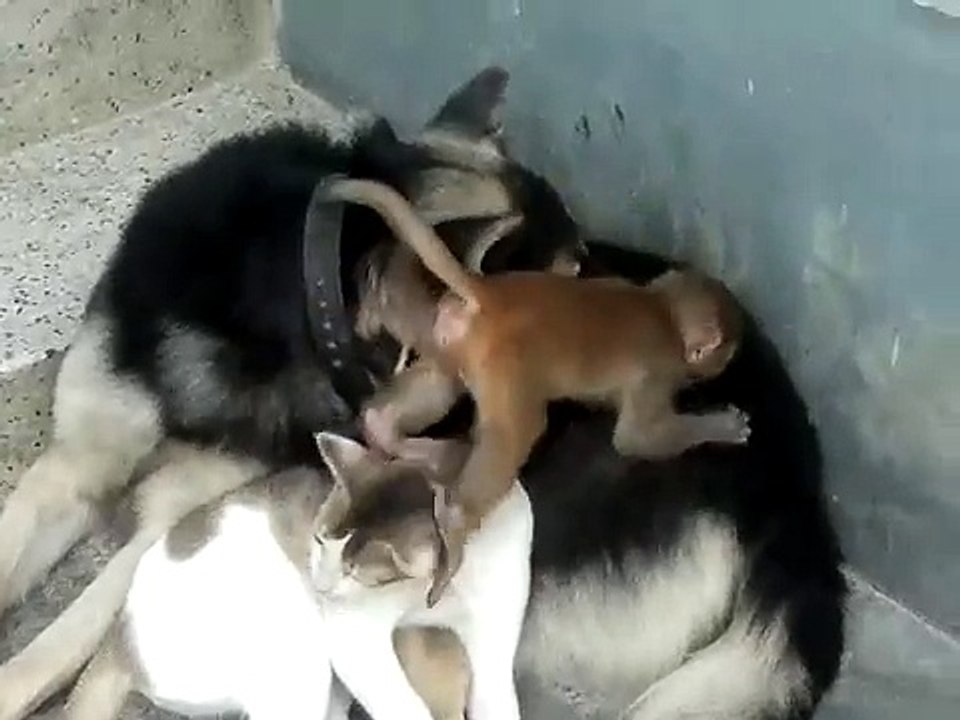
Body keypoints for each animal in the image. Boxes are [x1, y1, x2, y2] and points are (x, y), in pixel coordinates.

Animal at [318, 176, 749, 606]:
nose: (720, 365)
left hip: (450, 346)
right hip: (507, 374)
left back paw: (404, 442)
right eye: (725, 353)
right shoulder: (658, 373)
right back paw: (454, 533)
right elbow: (636, 439)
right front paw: (722, 426)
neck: (662, 310)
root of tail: (490, 294)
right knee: (515, 435)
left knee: (429, 391)